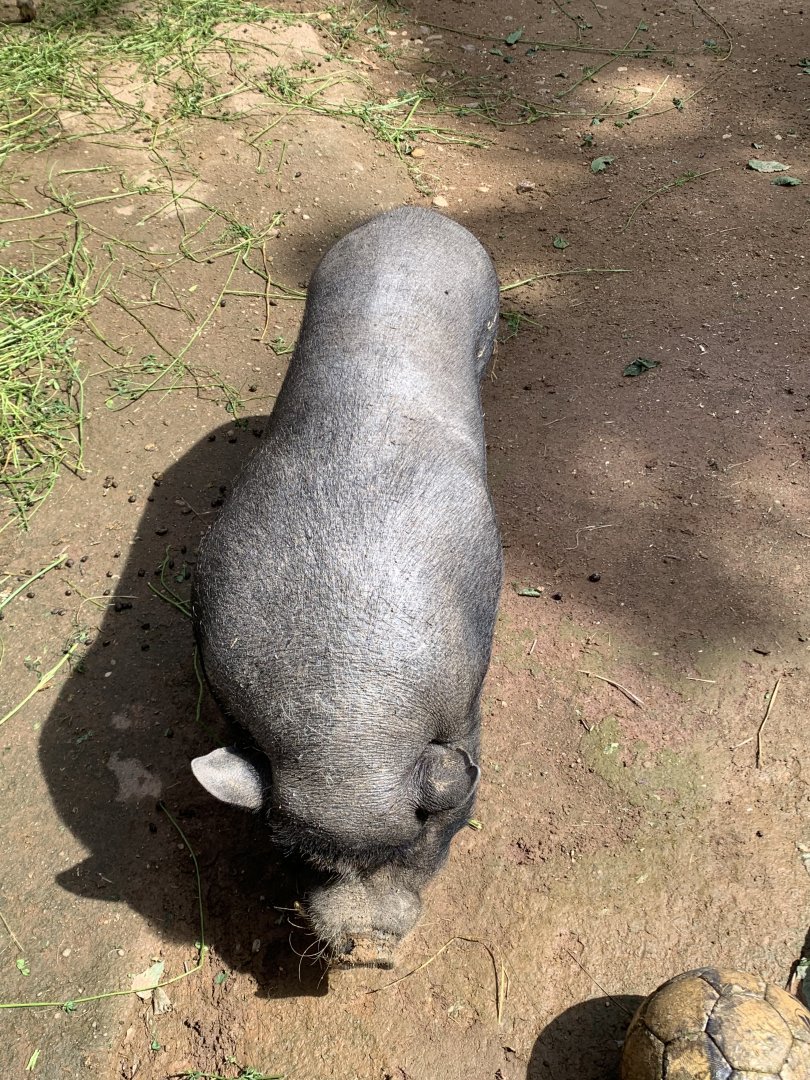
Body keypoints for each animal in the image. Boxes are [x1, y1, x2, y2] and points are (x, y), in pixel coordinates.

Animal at [191, 206, 503, 968]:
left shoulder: (466, 705)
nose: (365, 947)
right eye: (301, 856)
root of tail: (415, 217)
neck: (347, 725)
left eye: (416, 841)